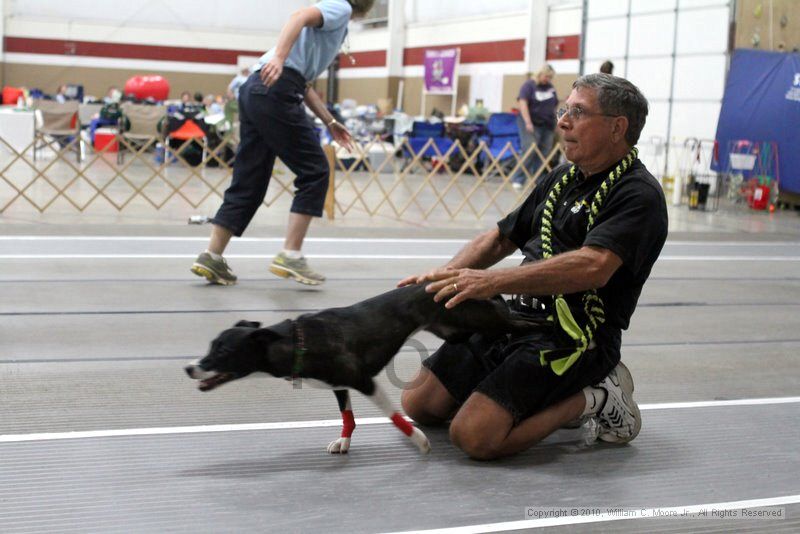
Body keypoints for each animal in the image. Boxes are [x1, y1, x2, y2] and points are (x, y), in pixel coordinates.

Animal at [185, 284, 548, 456]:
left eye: (223, 352)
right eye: (210, 345)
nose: (189, 368)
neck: (297, 341)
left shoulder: (363, 380)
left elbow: (394, 416)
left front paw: (419, 441)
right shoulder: (338, 385)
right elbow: (348, 416)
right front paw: (344, 442)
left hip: (482, 318)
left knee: (520, 320)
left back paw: (549, 325)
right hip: (458, 329)